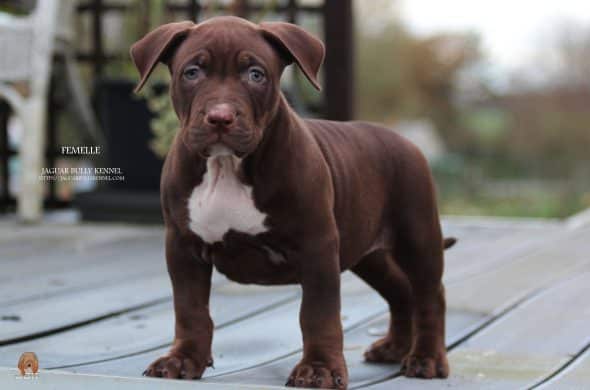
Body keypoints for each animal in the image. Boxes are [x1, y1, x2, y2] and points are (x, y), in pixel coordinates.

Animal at [132, 15, 450, 386]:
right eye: (192, 72)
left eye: (256, 74)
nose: (220, 117)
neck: (227, 165)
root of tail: (405, 141)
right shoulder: (183, 247)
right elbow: (189, 309)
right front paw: (183, 359)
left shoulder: (317, 247)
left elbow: (318, 314)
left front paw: (320, 369)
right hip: (368, 253)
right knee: (400, 291)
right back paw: (394, 348)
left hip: (418, 236)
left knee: (429, 296)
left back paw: (426, 358)